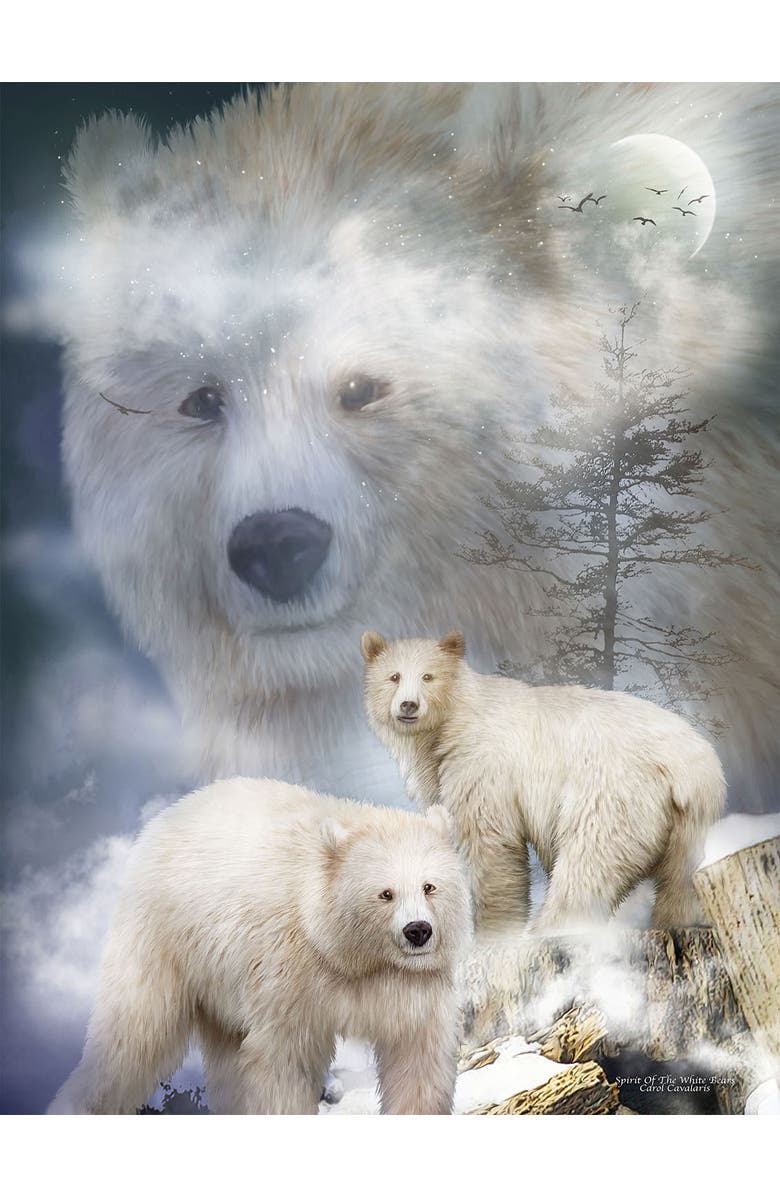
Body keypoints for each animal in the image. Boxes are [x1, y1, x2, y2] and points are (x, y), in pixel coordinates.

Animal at [47, 777, 473, 1115]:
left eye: (429, 886)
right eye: (385, 893)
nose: (418, 931)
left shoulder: (408, 987)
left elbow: (417, 1058)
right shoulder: (289, 974)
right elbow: (283, 1061)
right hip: (165, 939)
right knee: (133, 1032)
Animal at [361, 631, 726, 934]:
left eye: (428, 676)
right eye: (394, 676)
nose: (409, 705)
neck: (450, 724)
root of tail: (691, 764)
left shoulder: (481, 764)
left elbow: (490, 843)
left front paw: (495, 931)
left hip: (612, 792)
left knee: (588, 861)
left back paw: (550, 929)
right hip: (688, 821)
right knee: (680, 877)